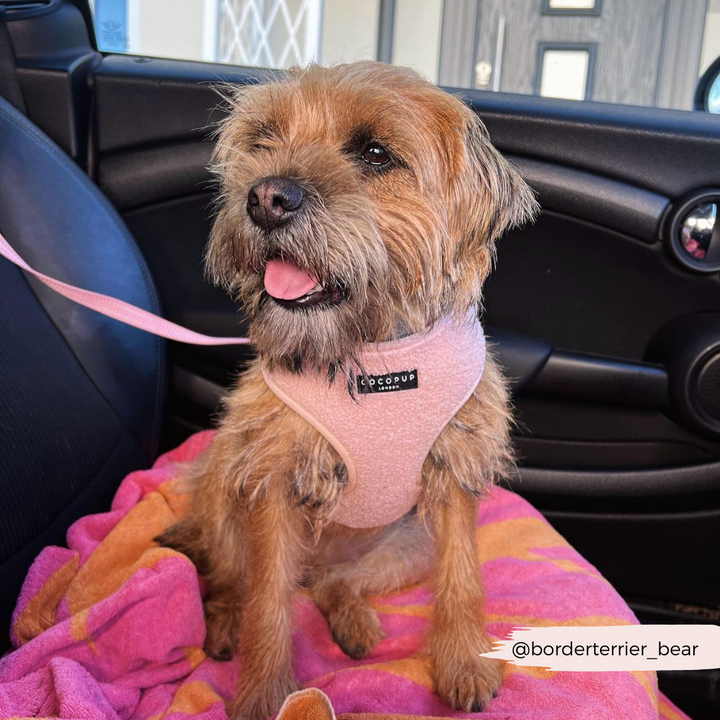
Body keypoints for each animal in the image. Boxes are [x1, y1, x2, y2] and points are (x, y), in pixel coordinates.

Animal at [160, 62, 536, 720]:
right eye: (264, 139)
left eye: (375, 153)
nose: (265, 197)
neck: (371, 356)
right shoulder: (273, 486)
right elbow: (268, 606)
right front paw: (262, 696)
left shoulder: (454, 479)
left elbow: (464, 578)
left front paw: (464, 664)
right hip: (225, 492)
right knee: (233, 580)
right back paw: (224, 625)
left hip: (409, 545)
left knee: (338, 584)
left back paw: (354, 622)